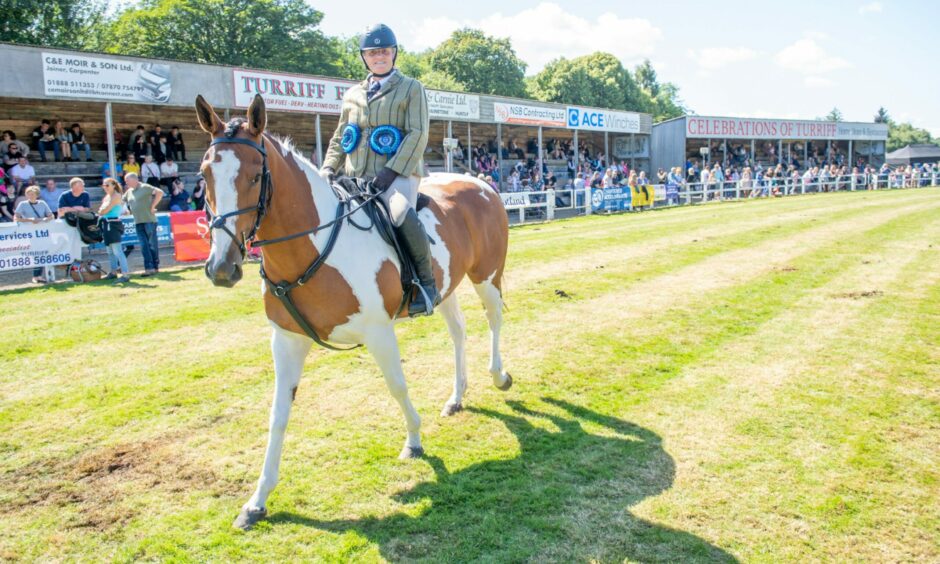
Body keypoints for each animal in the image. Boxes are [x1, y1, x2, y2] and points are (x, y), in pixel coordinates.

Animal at [194, 94, 510, 532]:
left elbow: (397, 387)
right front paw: (257, 501)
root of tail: (481, 183)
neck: (314, 246)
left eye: (256, 176)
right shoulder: (286, 340)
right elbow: (277, 415)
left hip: (487, 275)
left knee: (494, 321)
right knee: (459, 333)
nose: (222, 268)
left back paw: (499, 376)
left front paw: (414, 441)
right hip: (446, 286)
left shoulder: (378, 332)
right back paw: (457, 397)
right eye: (204, 174)